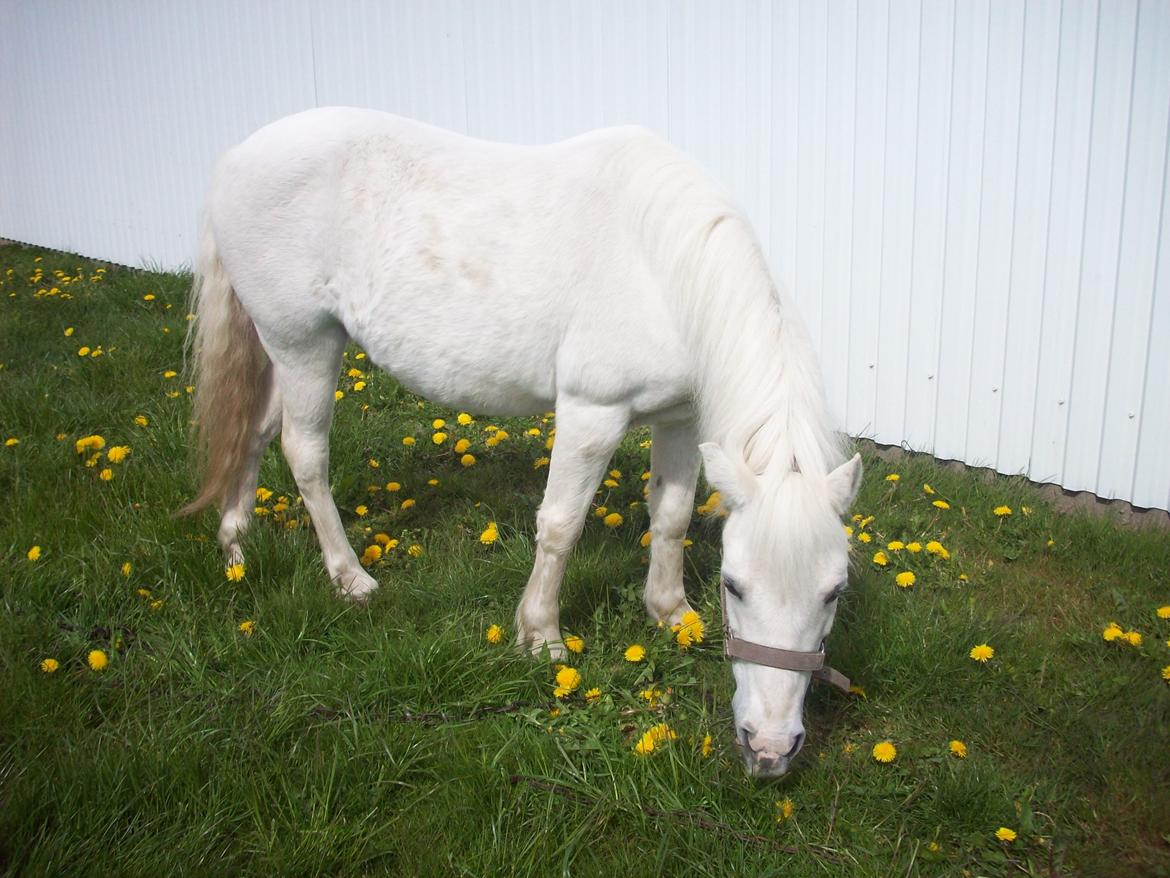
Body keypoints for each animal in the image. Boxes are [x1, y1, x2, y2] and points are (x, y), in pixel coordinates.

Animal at [182, 108, 861, 777]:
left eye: (833, 593)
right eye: (735, 585)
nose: (768, 749)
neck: (663, 271)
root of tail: (237, 157)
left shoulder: (680, 419)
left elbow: (670, 516)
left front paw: (671, 615)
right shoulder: (592, 413)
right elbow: (560, 526)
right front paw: (540, 636)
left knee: (252, 433)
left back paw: (235, 547)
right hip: (304, 345)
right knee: (304, 454)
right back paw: (350, 579)